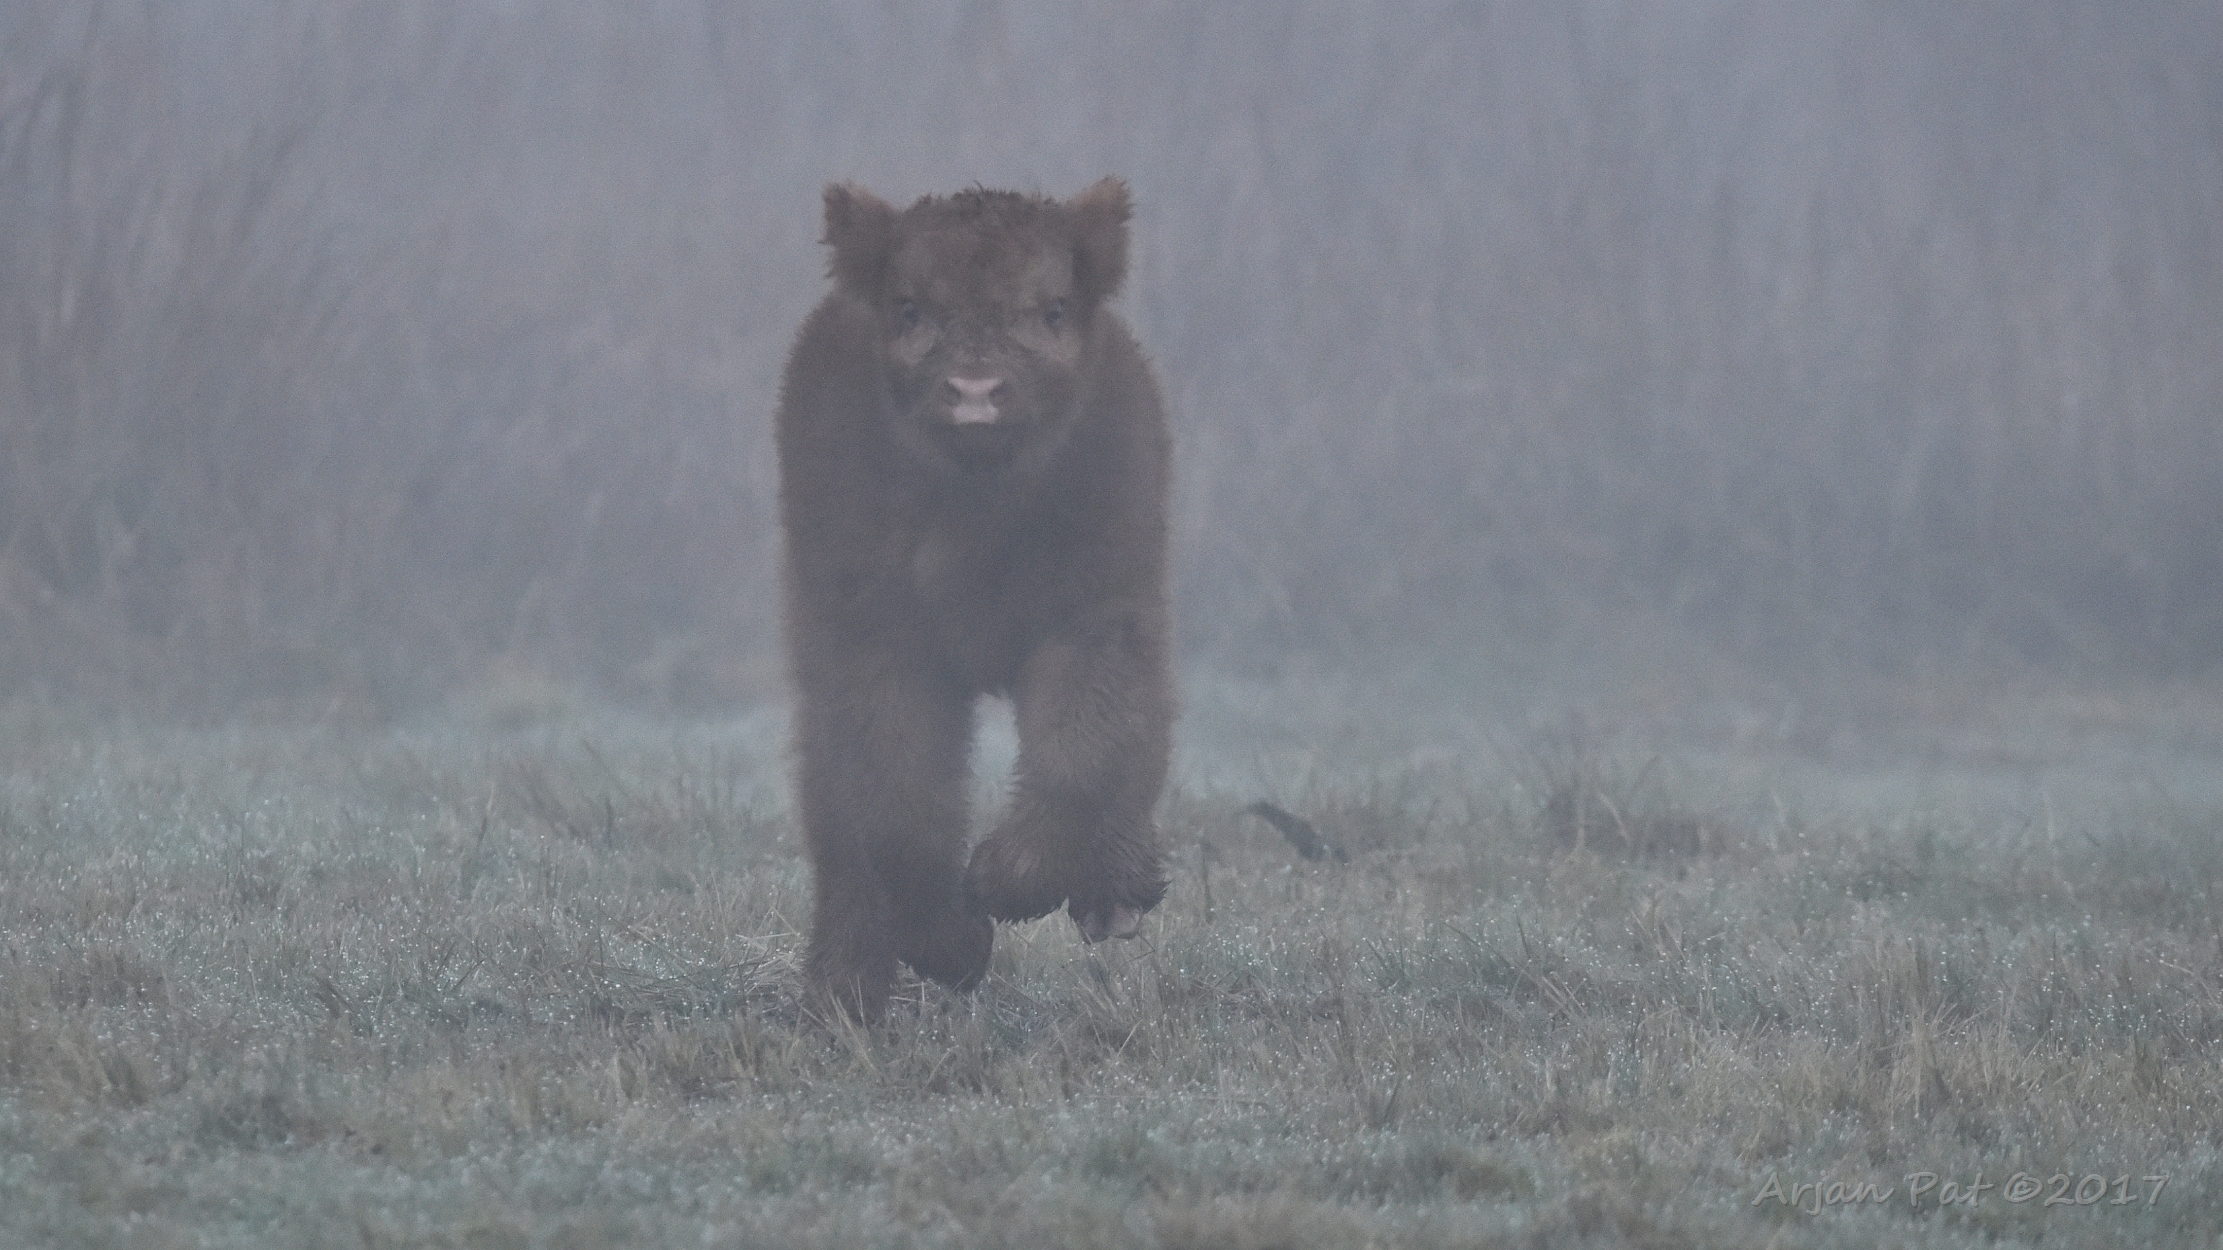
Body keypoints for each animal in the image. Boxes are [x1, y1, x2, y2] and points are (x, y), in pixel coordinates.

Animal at [775, 179, 1174, 1021]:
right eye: (908, 309)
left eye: (1051, 309)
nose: (976, 392)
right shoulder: (872, 639)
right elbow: (894, 799)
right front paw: (949, 941)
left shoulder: (1099, 615)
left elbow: (1085, 751)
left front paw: (1006, 881)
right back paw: (842, 987)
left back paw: (1116, 890)